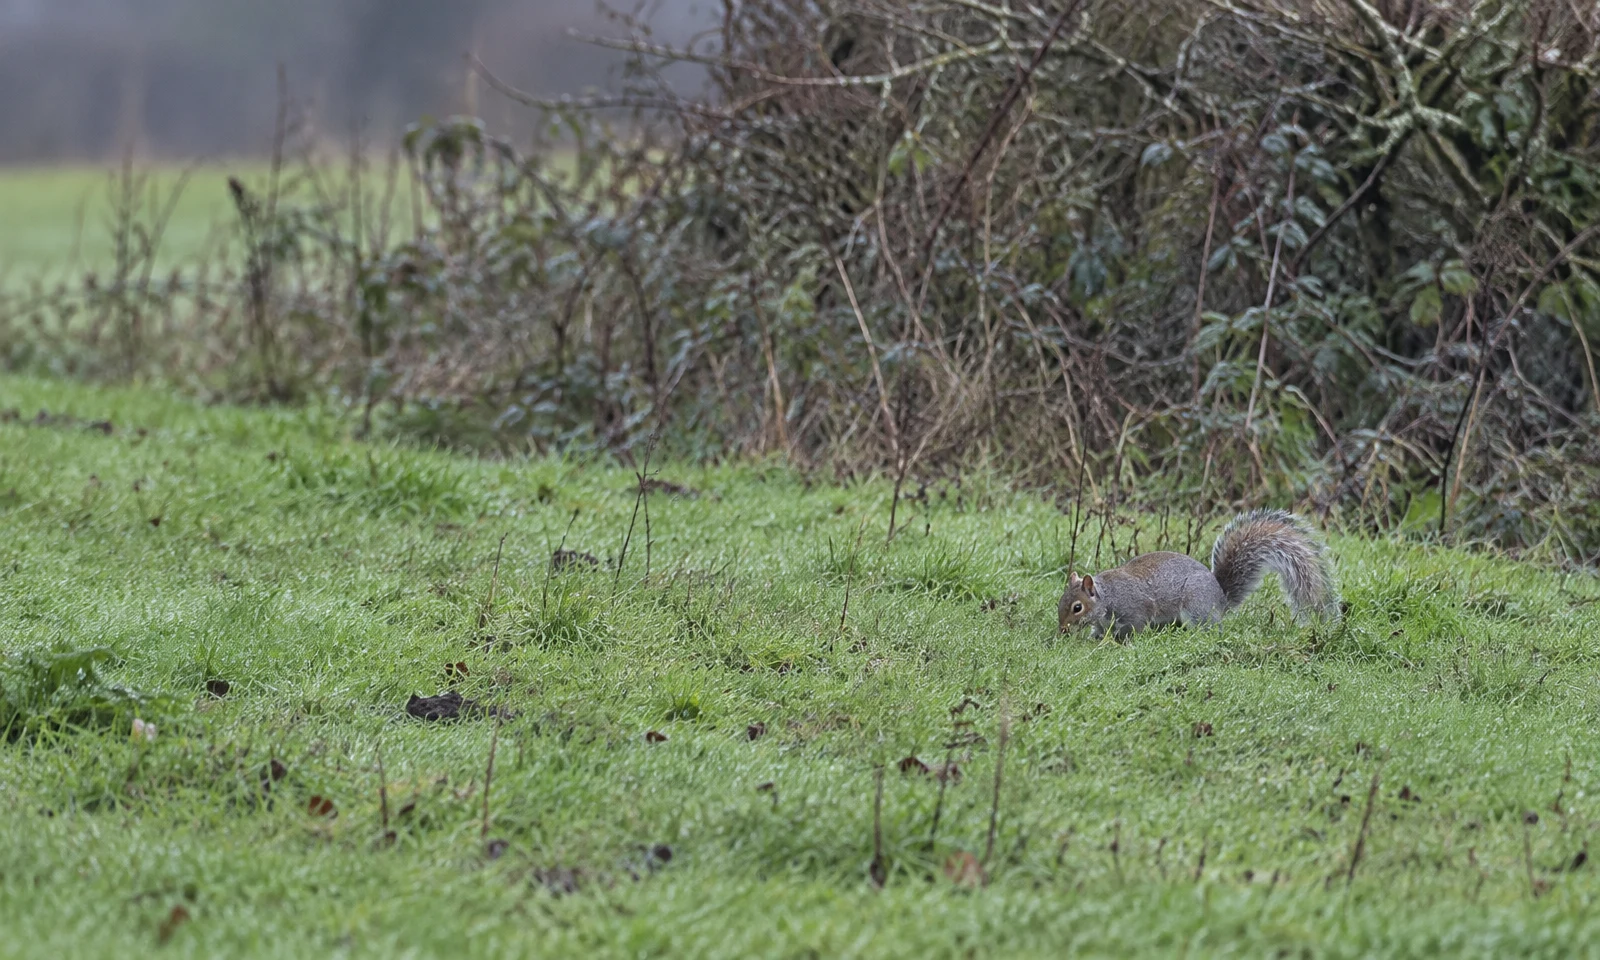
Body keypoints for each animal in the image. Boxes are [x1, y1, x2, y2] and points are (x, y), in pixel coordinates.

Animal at [1058, 509, 1340, 640]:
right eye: (1059, 602)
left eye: (1077, 608)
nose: (1062, 630)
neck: (1107, 597)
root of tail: (1221, 599)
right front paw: (1094, 639)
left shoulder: (1134, 609)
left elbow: (1135, 627)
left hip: (1195, 607)